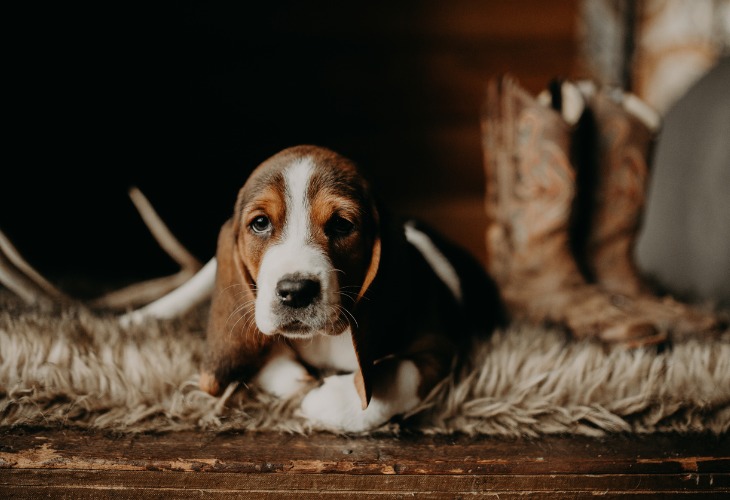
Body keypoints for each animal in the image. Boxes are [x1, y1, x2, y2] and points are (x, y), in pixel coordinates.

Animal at [198, 146, 500, 434]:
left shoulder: (441, 348)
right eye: (260, 223)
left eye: (342, 224)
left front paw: (331, 399)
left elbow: (399, 372)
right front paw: (294, 377)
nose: (296, 291)